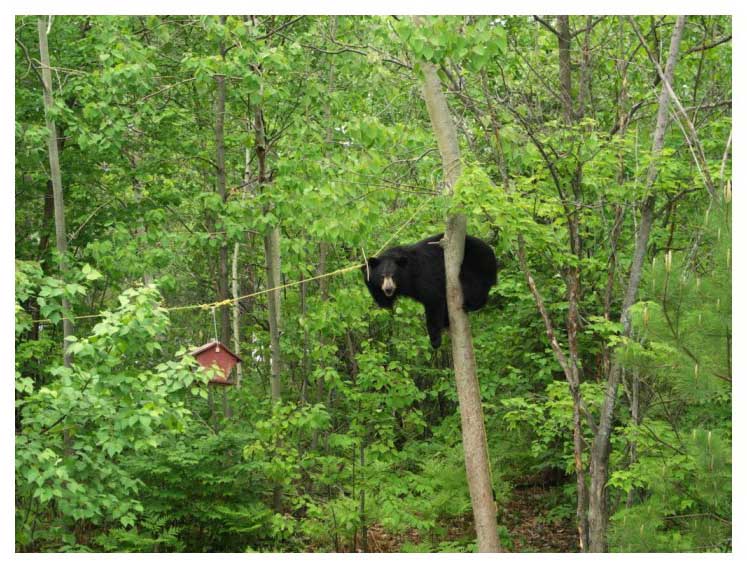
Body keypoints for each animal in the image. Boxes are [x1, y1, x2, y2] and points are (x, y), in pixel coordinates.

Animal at [360, 233, 496, 348]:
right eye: (382, 276)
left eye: (393, 275)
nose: (388, 288)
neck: (408, 275)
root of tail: (492, 253)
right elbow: (382, 299)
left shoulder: (423, 276)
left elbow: (433, 299)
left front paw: (435, 340)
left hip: (475, 264)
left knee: (472, 284)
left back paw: (469, 305)